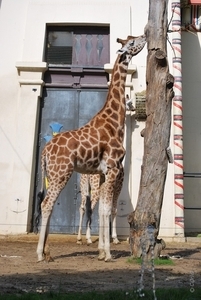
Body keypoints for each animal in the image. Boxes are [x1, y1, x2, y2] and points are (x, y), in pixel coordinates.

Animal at [35, 34, 146, 262]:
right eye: (132, 43)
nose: (145, 37)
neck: (114, 122)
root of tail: (44, 152)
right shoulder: (113, 169)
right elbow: (106, 209)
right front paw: (108, 253)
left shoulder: (103, 173)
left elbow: (102, 209)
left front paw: (102, 251)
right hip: (61, 173)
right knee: (47, 204)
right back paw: (40, 254)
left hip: (53, 174)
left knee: (49, 205)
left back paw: (48, 252)